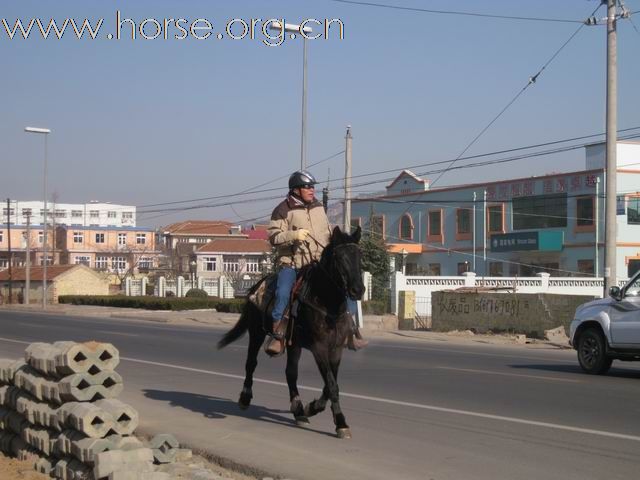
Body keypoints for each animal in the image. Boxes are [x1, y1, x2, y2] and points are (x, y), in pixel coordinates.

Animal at [216, 225, 362, 438]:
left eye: (360, 256)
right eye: (340, 257)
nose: (358, 290)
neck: (327, 303)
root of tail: (257, 285)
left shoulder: (335, 349)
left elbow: (330, 385)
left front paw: (313, 408)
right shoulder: (319, 347)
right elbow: (332, 385)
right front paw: (341, 422)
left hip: (295, 345)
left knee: (291, 373)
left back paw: (299, 410)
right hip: (256, 333)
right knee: (251, 363)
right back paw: (245, 397)